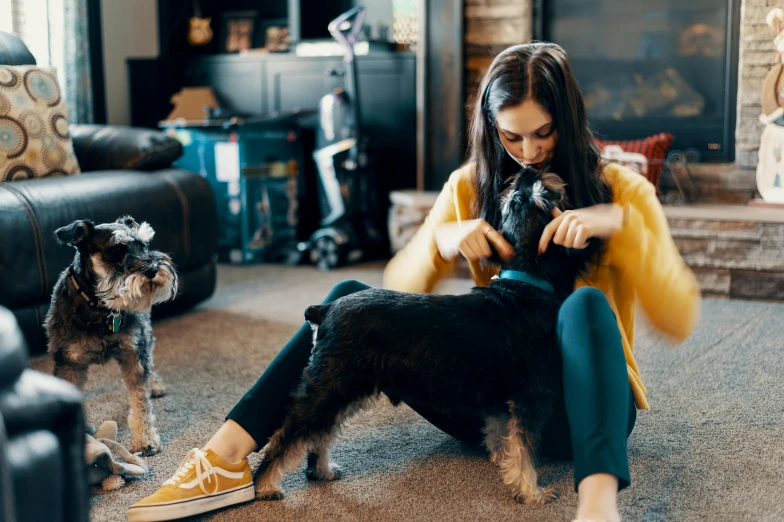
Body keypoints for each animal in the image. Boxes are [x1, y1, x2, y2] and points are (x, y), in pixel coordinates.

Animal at [254, 167, 596, 500]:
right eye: (543, 194)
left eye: (521, 195)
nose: (527, 172)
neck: (524, 285)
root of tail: (324, 310)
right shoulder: (530, 399)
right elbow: (525, 448)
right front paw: (531, 491)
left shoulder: (500, 401)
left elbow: (504, 438)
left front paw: (504, 466)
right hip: (331, 387)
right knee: (289, 434)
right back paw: (265, 485)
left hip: (345, 390)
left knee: (319, 434)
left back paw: (321, 471)